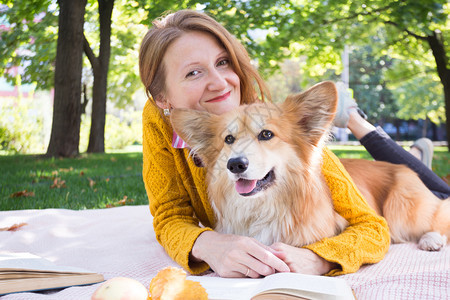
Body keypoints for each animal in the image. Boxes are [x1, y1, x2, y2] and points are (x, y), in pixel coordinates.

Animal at [171, 81, 448, 251]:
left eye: (266, 134)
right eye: (228, 139)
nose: (235, 164)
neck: (264, 208)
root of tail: (400, 167)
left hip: (402, 212)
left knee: (437, 220)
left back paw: (431, 239)